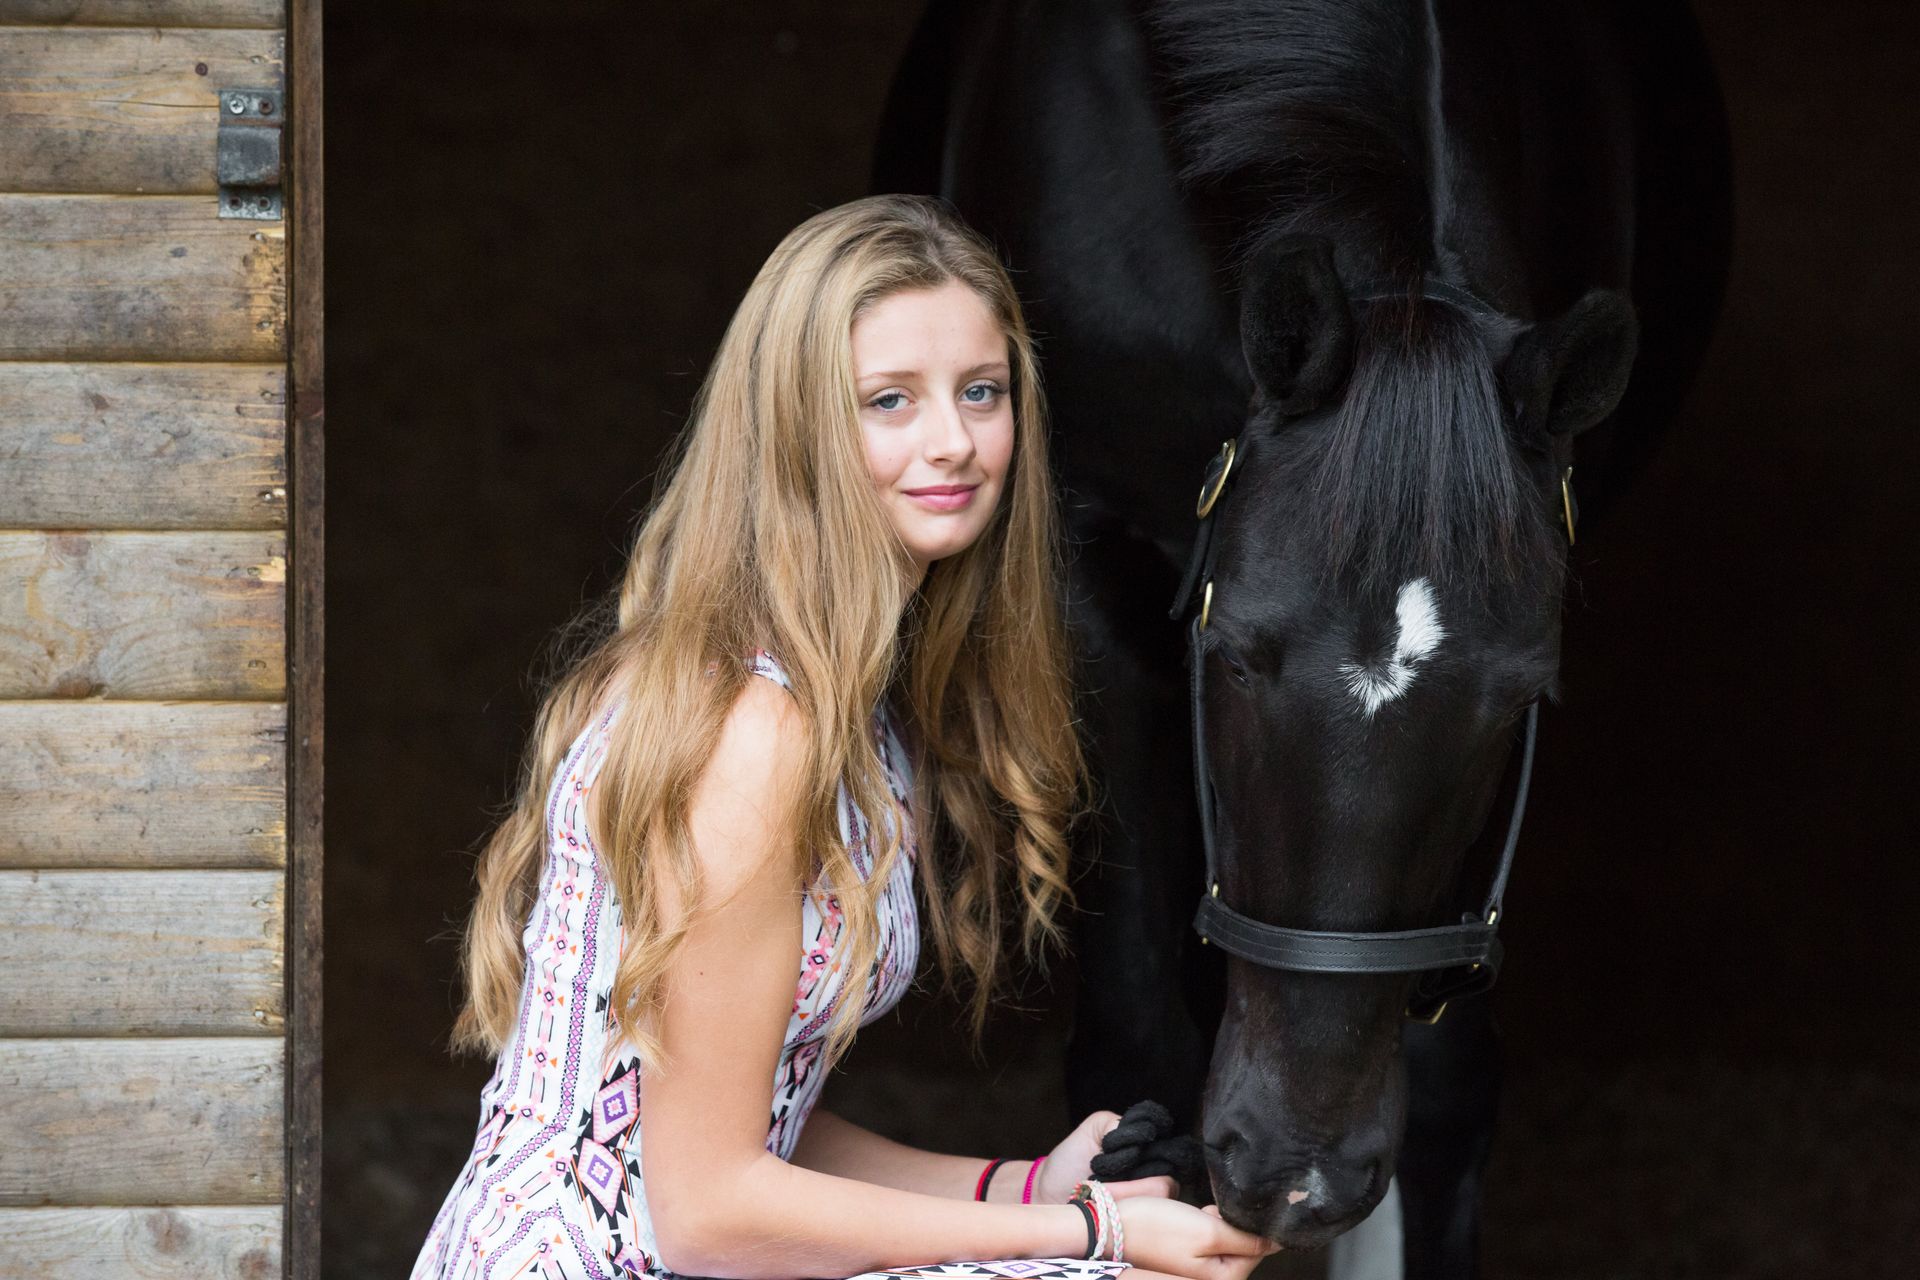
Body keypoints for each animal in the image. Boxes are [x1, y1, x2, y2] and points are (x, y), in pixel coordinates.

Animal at [875, 0, 1730, 1272]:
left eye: (1519, 703)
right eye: (1231, 656)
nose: (1294, 1175)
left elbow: (1444, 1090)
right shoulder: (1087, 578)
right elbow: (1134, 1058)